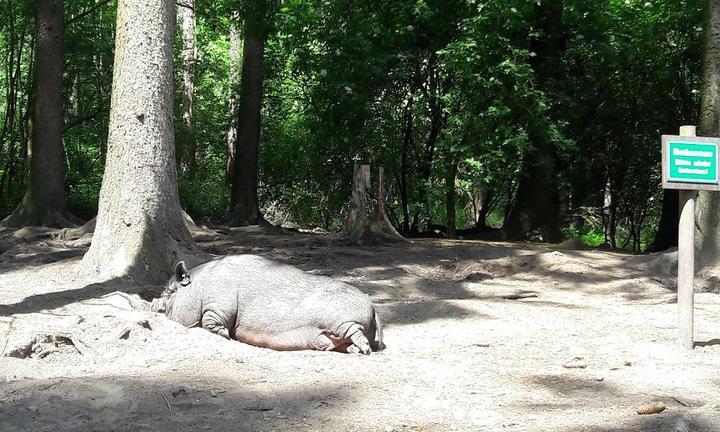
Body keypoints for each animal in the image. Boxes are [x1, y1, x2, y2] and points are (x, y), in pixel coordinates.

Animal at [150, 255, 386, 352]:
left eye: (170, 292)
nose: (152, 304)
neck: (200, 287)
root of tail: (373, 306)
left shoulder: (220, 304)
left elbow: (211, 320)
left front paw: (226, 335)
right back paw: (355, 350)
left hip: (342, 320)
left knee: (355, 332)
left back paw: (364, 350)